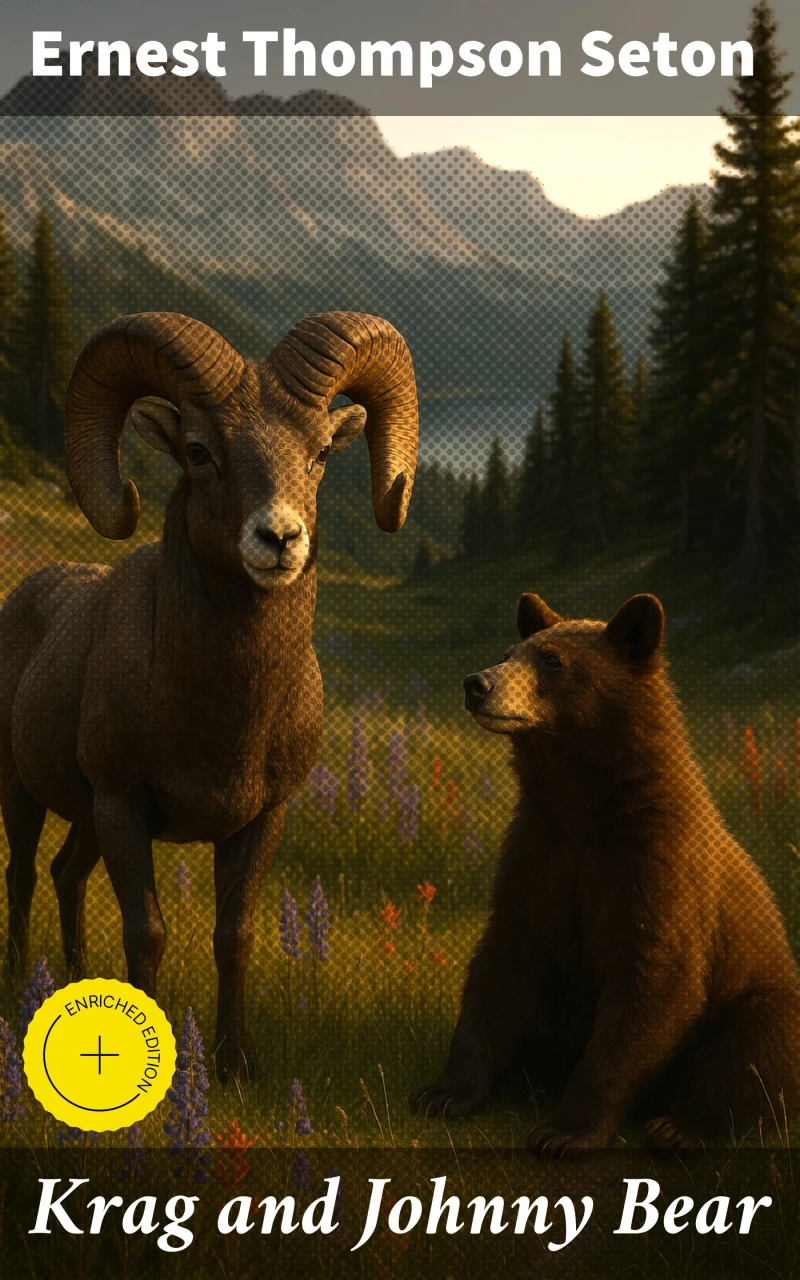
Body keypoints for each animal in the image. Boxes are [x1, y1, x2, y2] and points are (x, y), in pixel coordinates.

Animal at [410, 592, 800, 1155]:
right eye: (509, 652)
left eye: (553, 660)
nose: (476, 682)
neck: (583, 803)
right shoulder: (539, 853)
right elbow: (502, 962)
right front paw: (443, 1092)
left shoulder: (658, 866)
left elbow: (655, 980)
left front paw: (564, 1131)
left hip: (763, 995)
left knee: (757, 1046)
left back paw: (679, 1127)